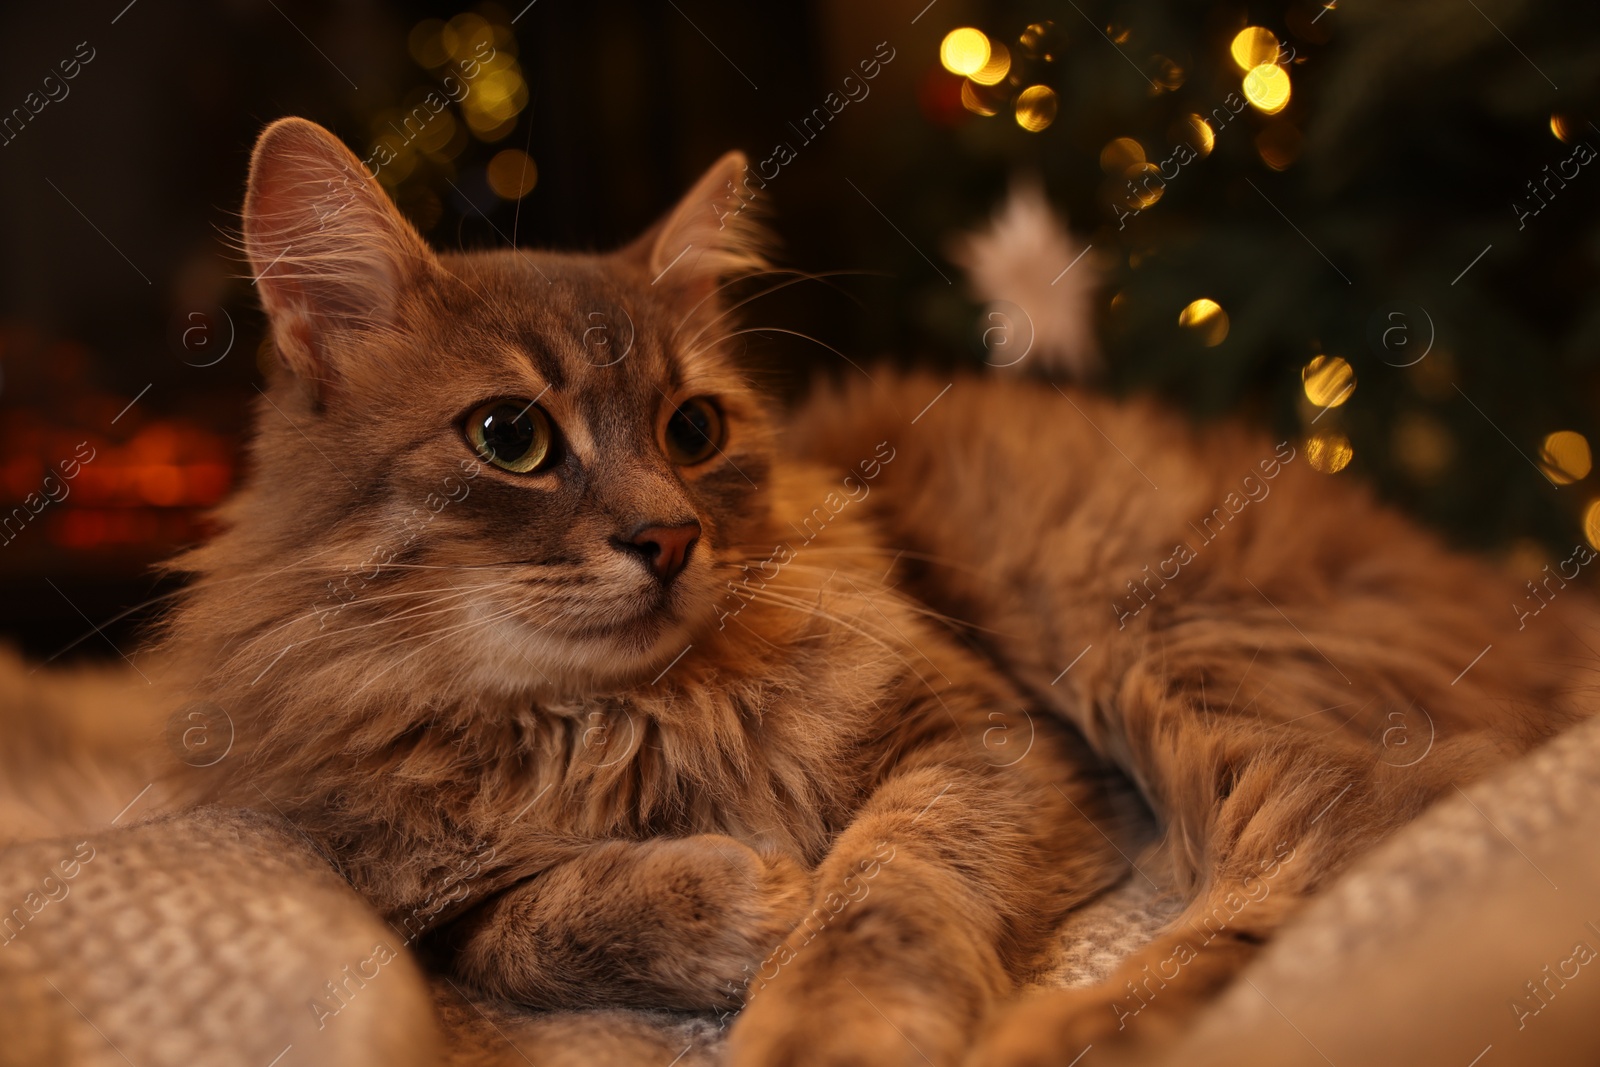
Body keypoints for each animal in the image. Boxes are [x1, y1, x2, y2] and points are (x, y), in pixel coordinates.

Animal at [159, 119, 1139, 1067]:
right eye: (508, 435)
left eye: (694, 430)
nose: (669, 537)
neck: (611, 718)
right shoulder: (427, 906)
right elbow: (530, 932)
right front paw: (746, 894)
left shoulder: (989, 735)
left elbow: (887, 882)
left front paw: (827, 1020)